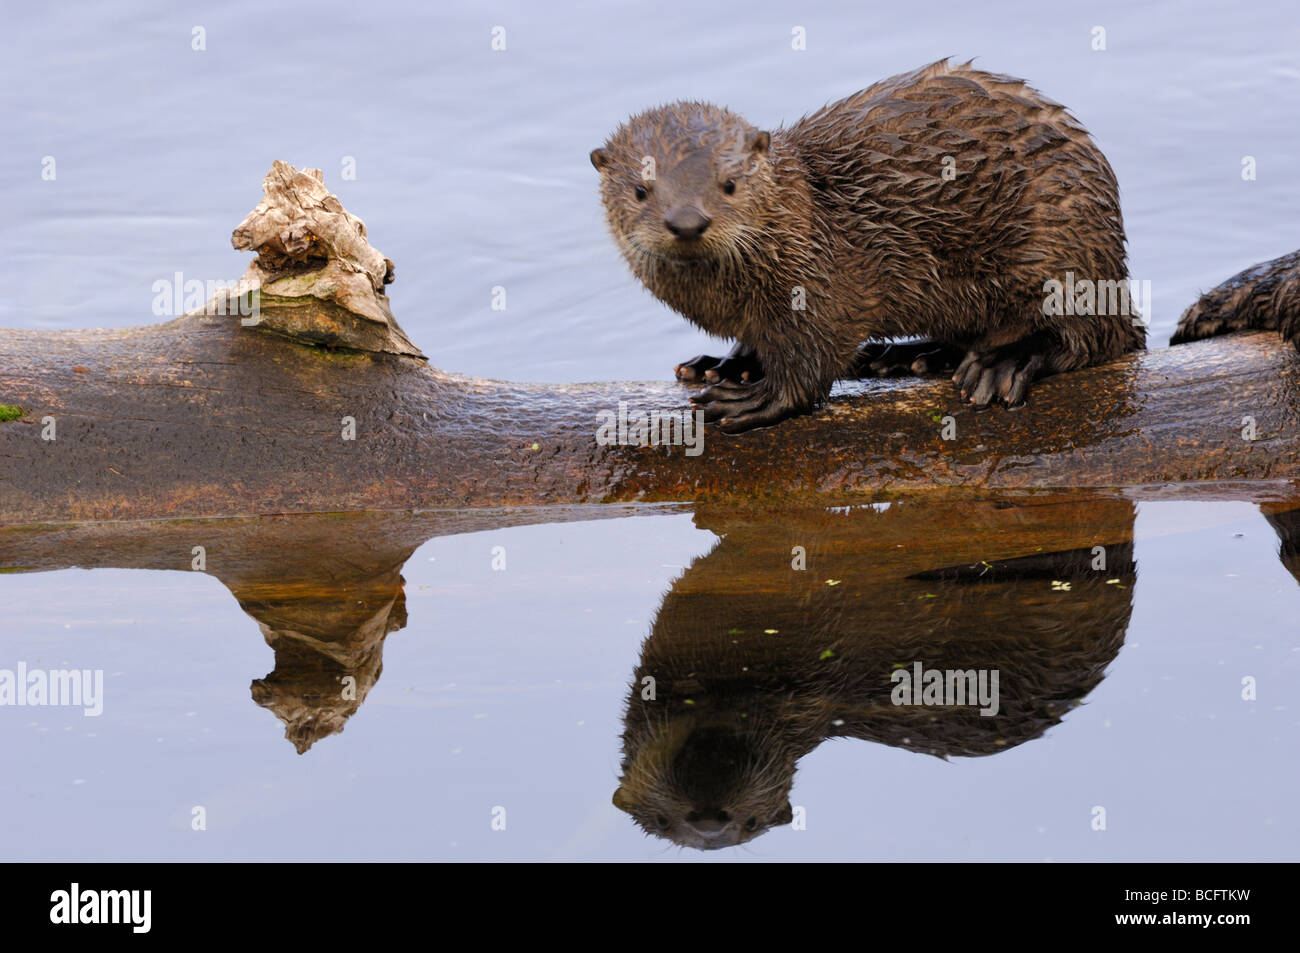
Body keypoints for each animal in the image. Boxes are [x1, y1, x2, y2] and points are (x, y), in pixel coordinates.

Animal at [592, 59, 1149, 431]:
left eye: (728, 184)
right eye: (641, 190)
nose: (687, 221)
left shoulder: (821, 283)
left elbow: (813, 357)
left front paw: (754, 399)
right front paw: (727, 363)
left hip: (1067, 240)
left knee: (1093, 336)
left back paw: (1000, 363)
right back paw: (910, 357)